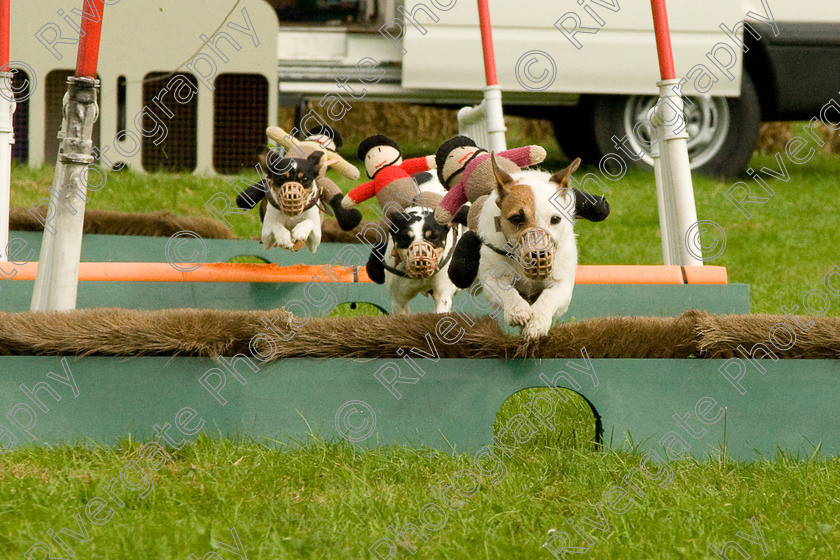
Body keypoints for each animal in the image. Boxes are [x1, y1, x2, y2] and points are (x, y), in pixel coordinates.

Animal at [476, 154, 580, 336]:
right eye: (516, 218)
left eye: (556, 219)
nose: (539, 255)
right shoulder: (491, 279)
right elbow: (505, 290)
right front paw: (518, 311)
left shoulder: (563, 285)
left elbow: (549, 295)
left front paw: (537, 323)